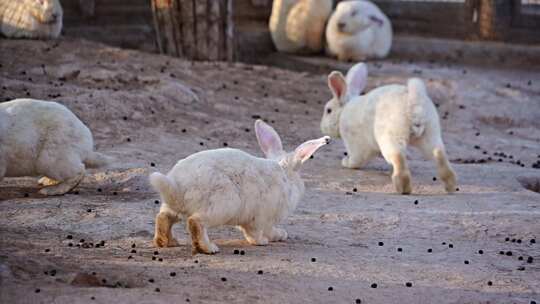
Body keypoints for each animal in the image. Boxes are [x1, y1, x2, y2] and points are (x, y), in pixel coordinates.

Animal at [150, 119, 332, 254]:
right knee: (195, 222)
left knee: (163, 218)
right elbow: (256, 232)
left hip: (174, 208)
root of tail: (178, 188)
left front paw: (279, 235)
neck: (284, 173)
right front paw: (265, 240)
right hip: (223, 205)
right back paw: (209, 248)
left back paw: (168, 242)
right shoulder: (260, 217)